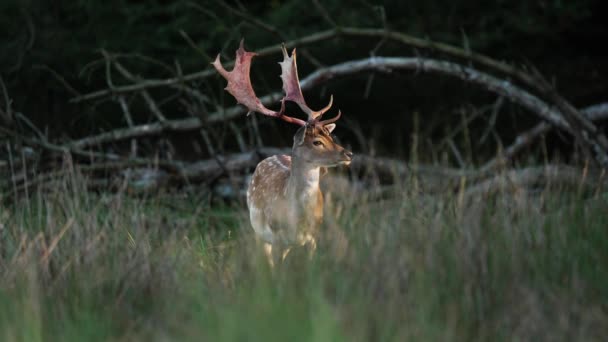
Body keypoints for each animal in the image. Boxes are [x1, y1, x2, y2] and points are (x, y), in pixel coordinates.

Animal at [213, 40, 352, 264]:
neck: (296, 218)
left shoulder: (313, 237)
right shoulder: (276, 235)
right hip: (259, 231)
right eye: (317, 141)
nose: (348, 154)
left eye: (330, 137)